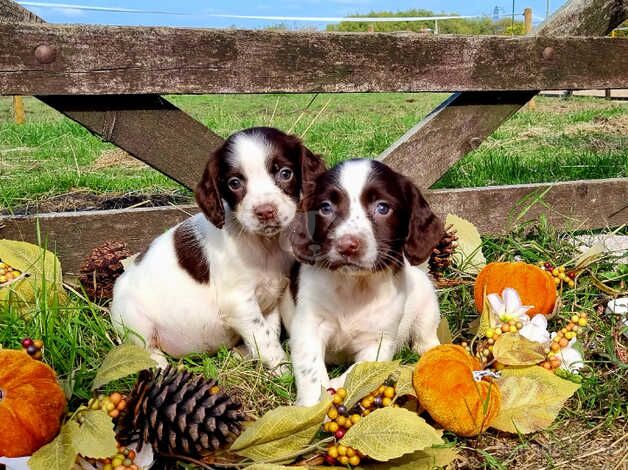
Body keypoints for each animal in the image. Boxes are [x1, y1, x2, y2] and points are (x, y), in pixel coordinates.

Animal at [110, 127, 324, 370]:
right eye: (234, 183)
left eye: (286, 173)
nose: (265, 211)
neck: (264, 244)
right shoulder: (239, 303)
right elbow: (267, 341)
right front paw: (284, 370)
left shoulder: (271, 299)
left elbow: (269, 333)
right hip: (133, 320)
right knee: (147, 350)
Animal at [282, 158, 444, 404]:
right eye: (325, 208)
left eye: (383, 208)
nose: (347, 245)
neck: (354, 286)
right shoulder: (308, 326)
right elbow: (311, 370)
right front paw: (311, 405)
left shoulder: (379, 341)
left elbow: (361, 368)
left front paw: (336, 386)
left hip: (427, 307)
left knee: (425, 337)